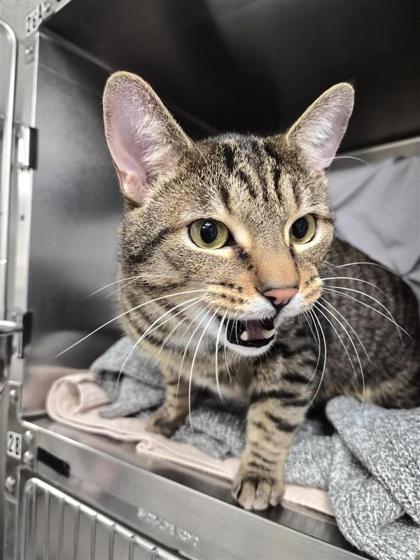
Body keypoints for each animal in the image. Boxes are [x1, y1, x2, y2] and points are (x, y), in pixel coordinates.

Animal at [102, 72, 420, 511]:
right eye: (208, 233)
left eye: (302, 228)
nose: (283, 293)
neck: (194, 340)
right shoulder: (165, 353)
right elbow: (175, 385)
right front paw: (168, 416)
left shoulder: (297, 356)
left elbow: (272, 416)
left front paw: (258, 474)